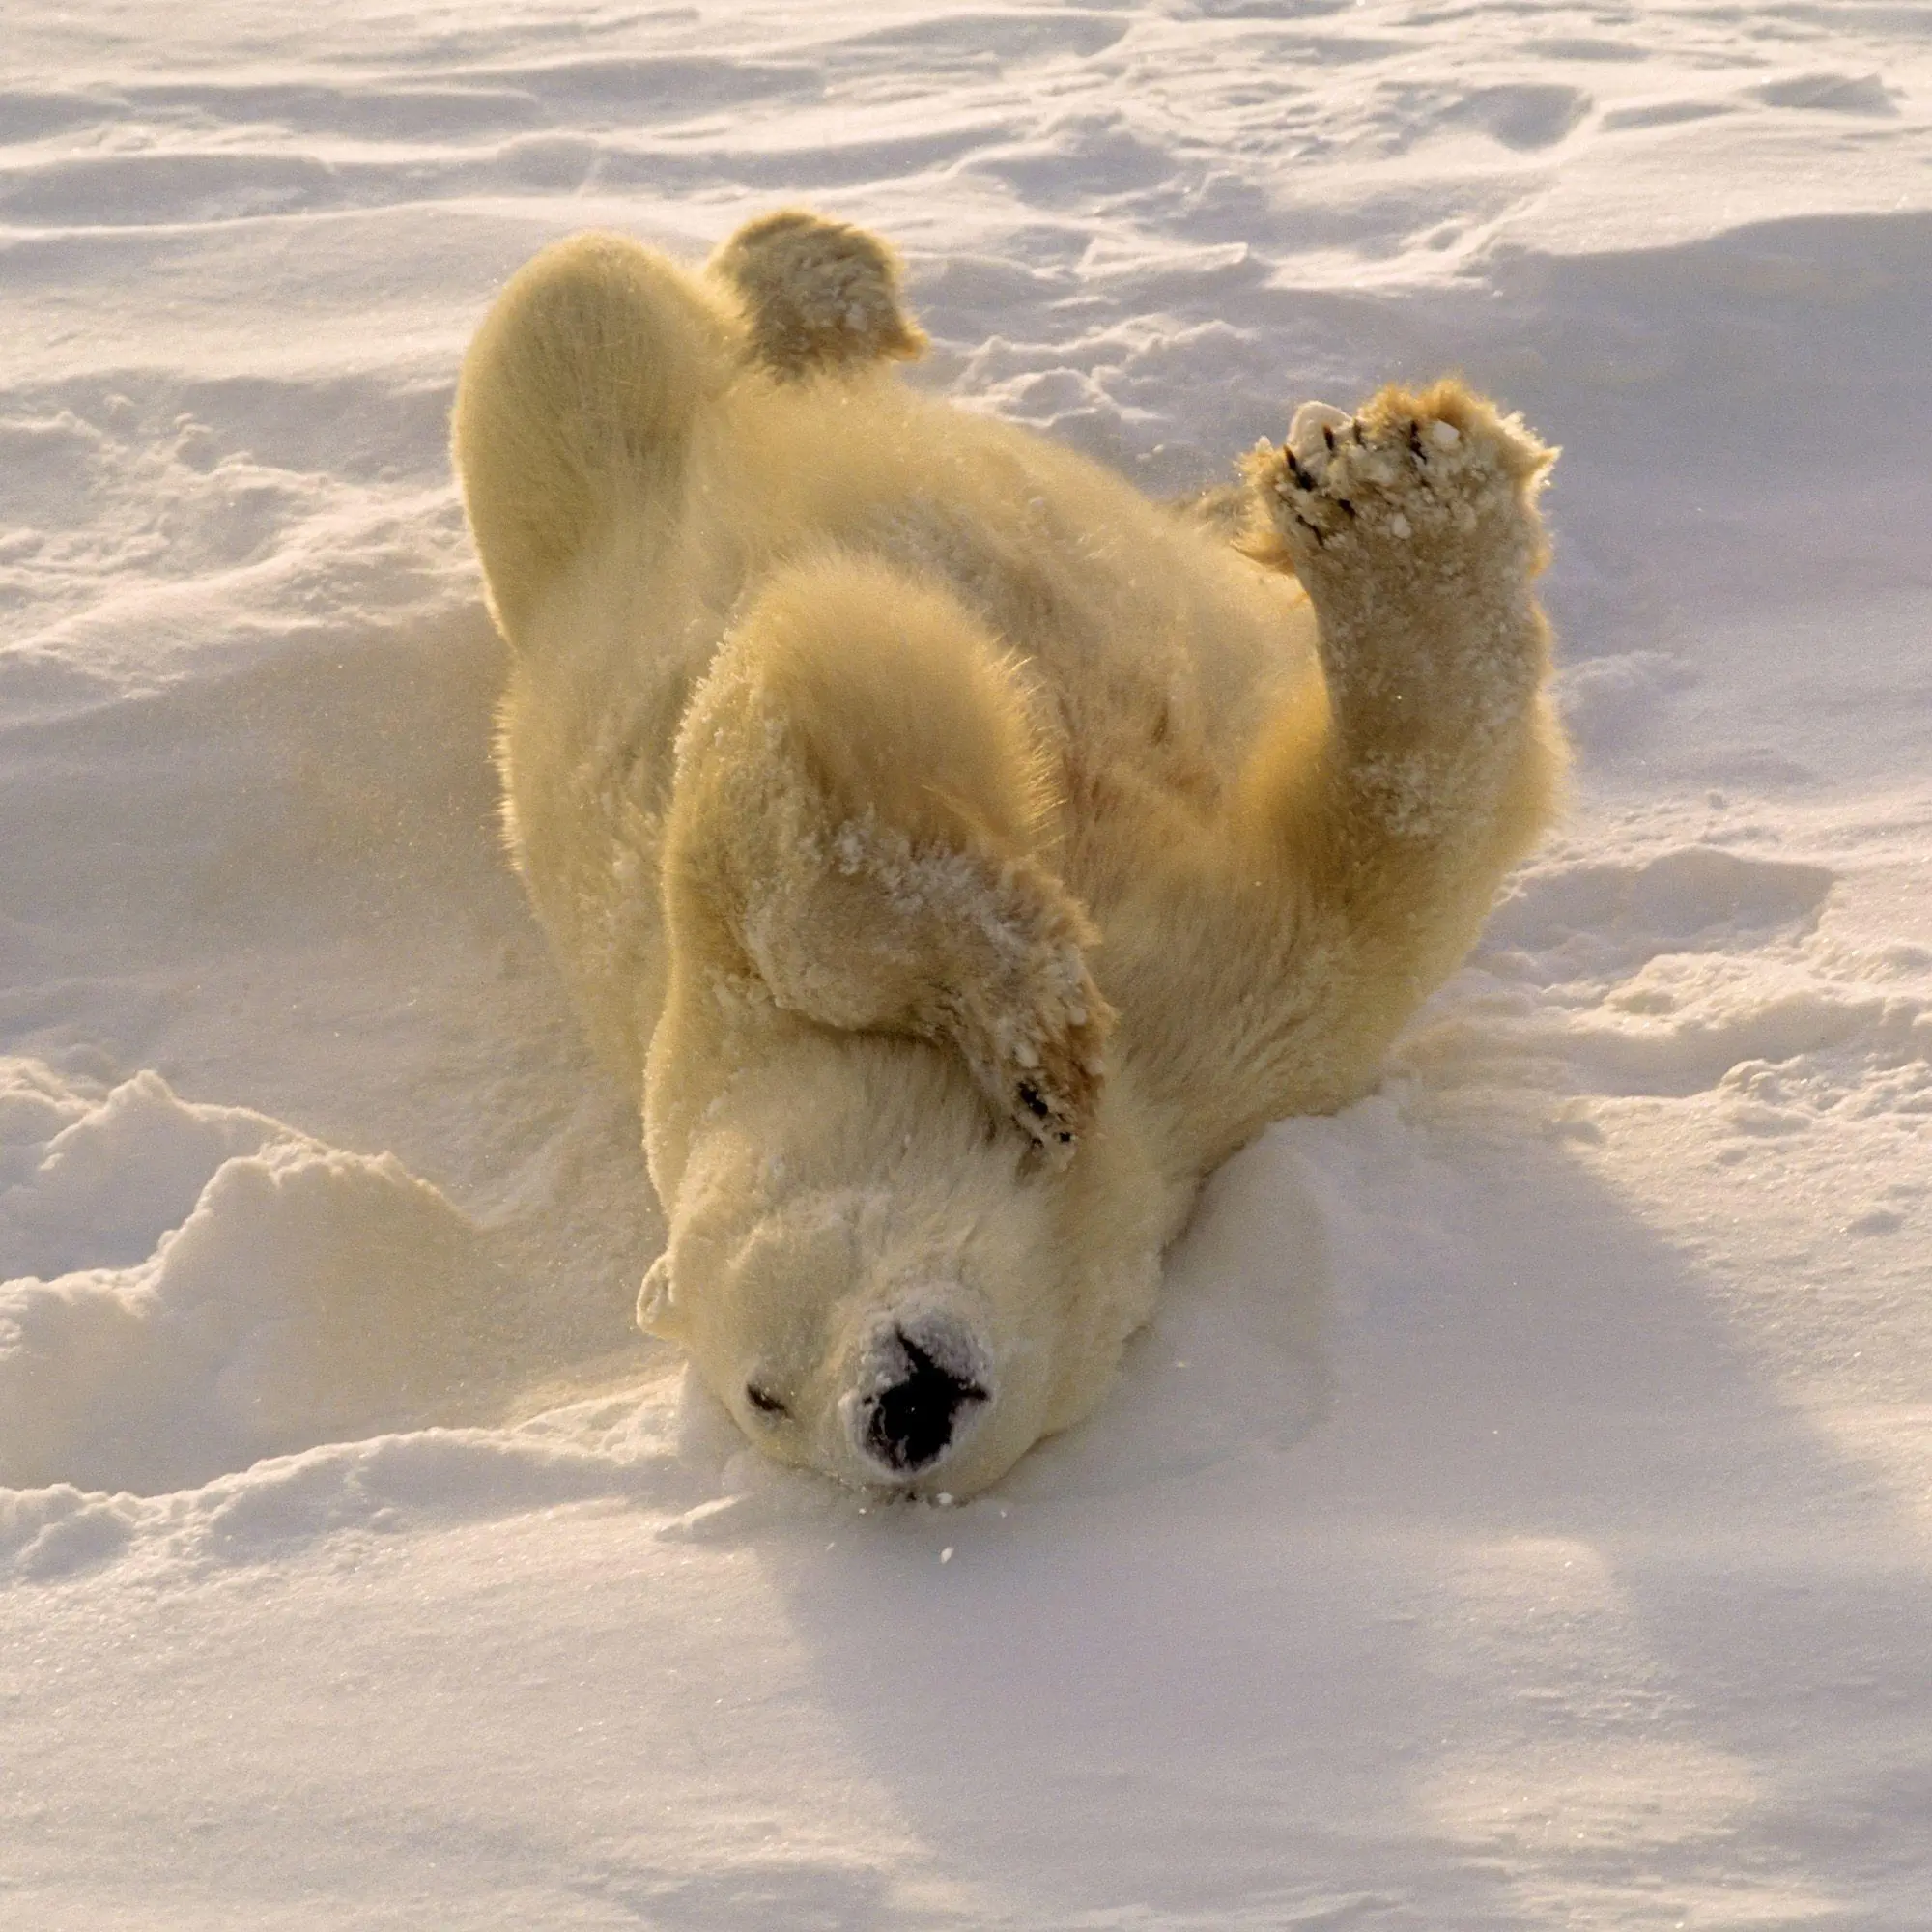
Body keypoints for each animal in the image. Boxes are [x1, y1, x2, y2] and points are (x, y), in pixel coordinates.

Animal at [451, 209, 1564, 1499]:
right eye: (767, 1401)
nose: (894, 1417)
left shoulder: (714, 994)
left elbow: (784, 717)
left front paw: (1384, 493)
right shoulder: (1238, 1055)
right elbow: (1388, 857)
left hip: (584, 480)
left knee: (568, 313)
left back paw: (825, 274)